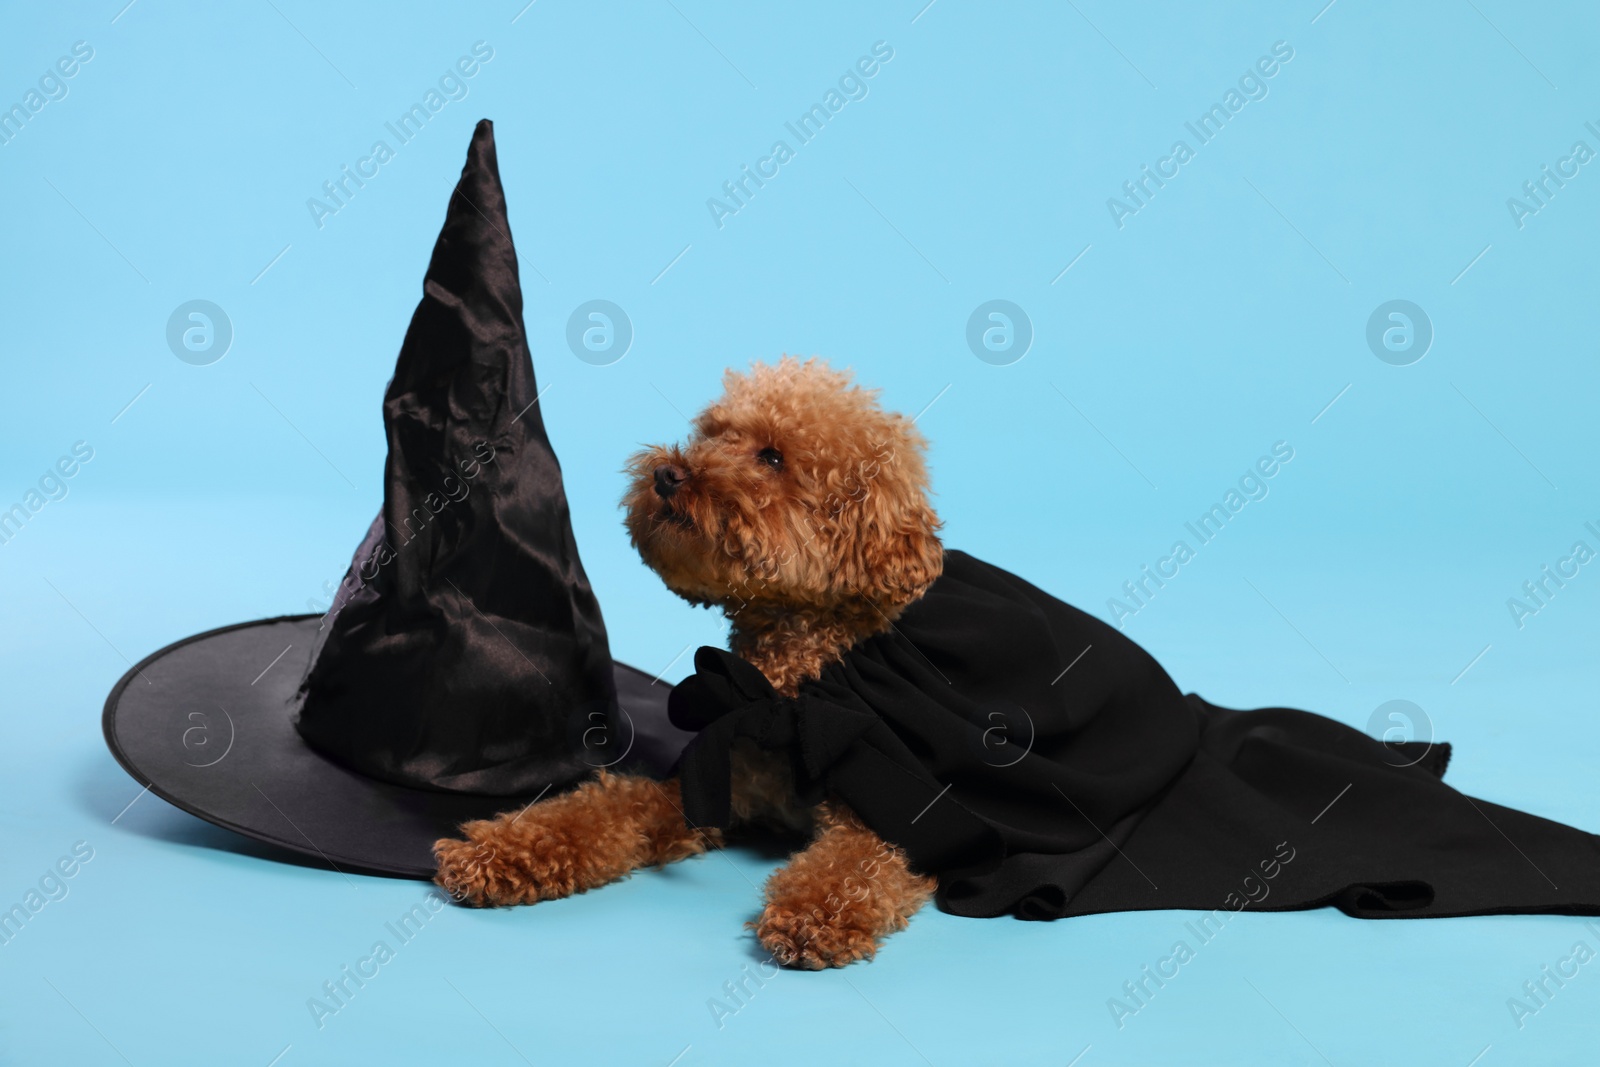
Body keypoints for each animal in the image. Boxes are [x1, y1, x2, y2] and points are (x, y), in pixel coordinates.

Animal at [432, 358, 940, 966]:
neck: (784, 688)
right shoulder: (709, 782)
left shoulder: (885, 822)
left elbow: (855, 867)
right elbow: (603, 808)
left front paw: (811, 913)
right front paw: (499, 849)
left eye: (772, 457)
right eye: (713, 436)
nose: (668, 475)